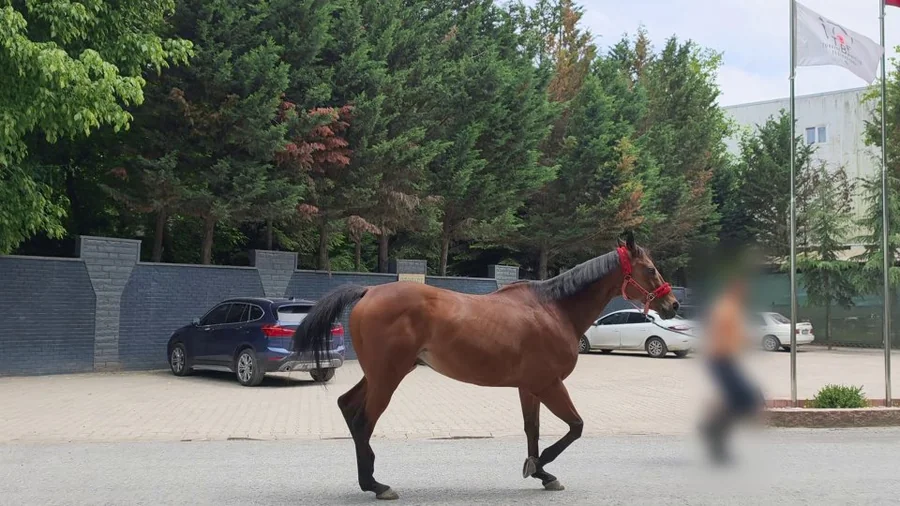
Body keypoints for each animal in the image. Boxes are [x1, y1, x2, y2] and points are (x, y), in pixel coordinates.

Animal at [293, 231, 679, 500]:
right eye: (650, 269)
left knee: (347, 406)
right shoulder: (550, 383)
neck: (553, 308)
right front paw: (540, 465)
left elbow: (532, 429)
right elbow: (575, 427)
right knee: (363, 420)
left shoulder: (530, 386)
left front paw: (541, 472)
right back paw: (376, 484)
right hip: (388, 376)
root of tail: (369, 293)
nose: (672, 304)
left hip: (379, 374)